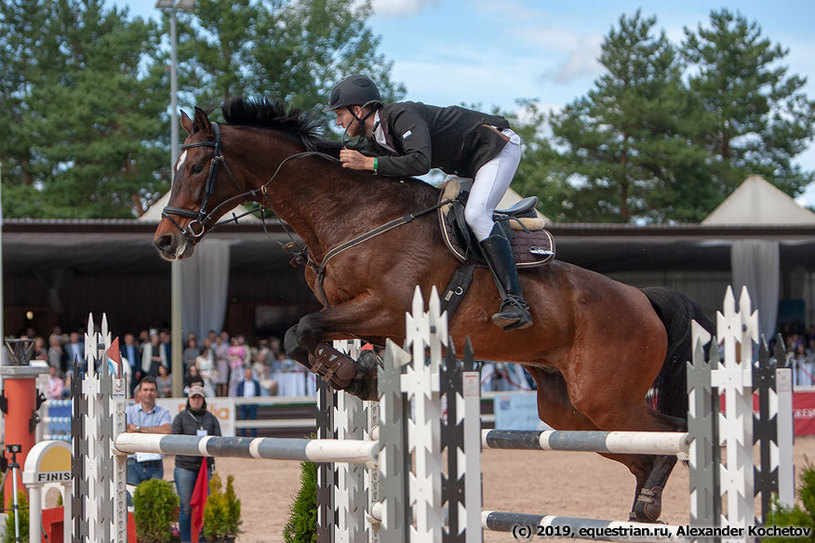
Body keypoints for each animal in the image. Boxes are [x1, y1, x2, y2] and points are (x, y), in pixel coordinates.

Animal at [153, 98, 712, 524]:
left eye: (197, 168)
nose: (164, 242)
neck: (349, 213)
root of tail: (643, 298)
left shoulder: (385, 309)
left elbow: (298, 332)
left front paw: (350, 376)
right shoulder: (361, 316)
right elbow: (308, 338)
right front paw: (359, 375)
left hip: (605, 396)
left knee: (668, 429)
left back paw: (653, 495)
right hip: (568, 409)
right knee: (639, 448)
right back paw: (644, 503)